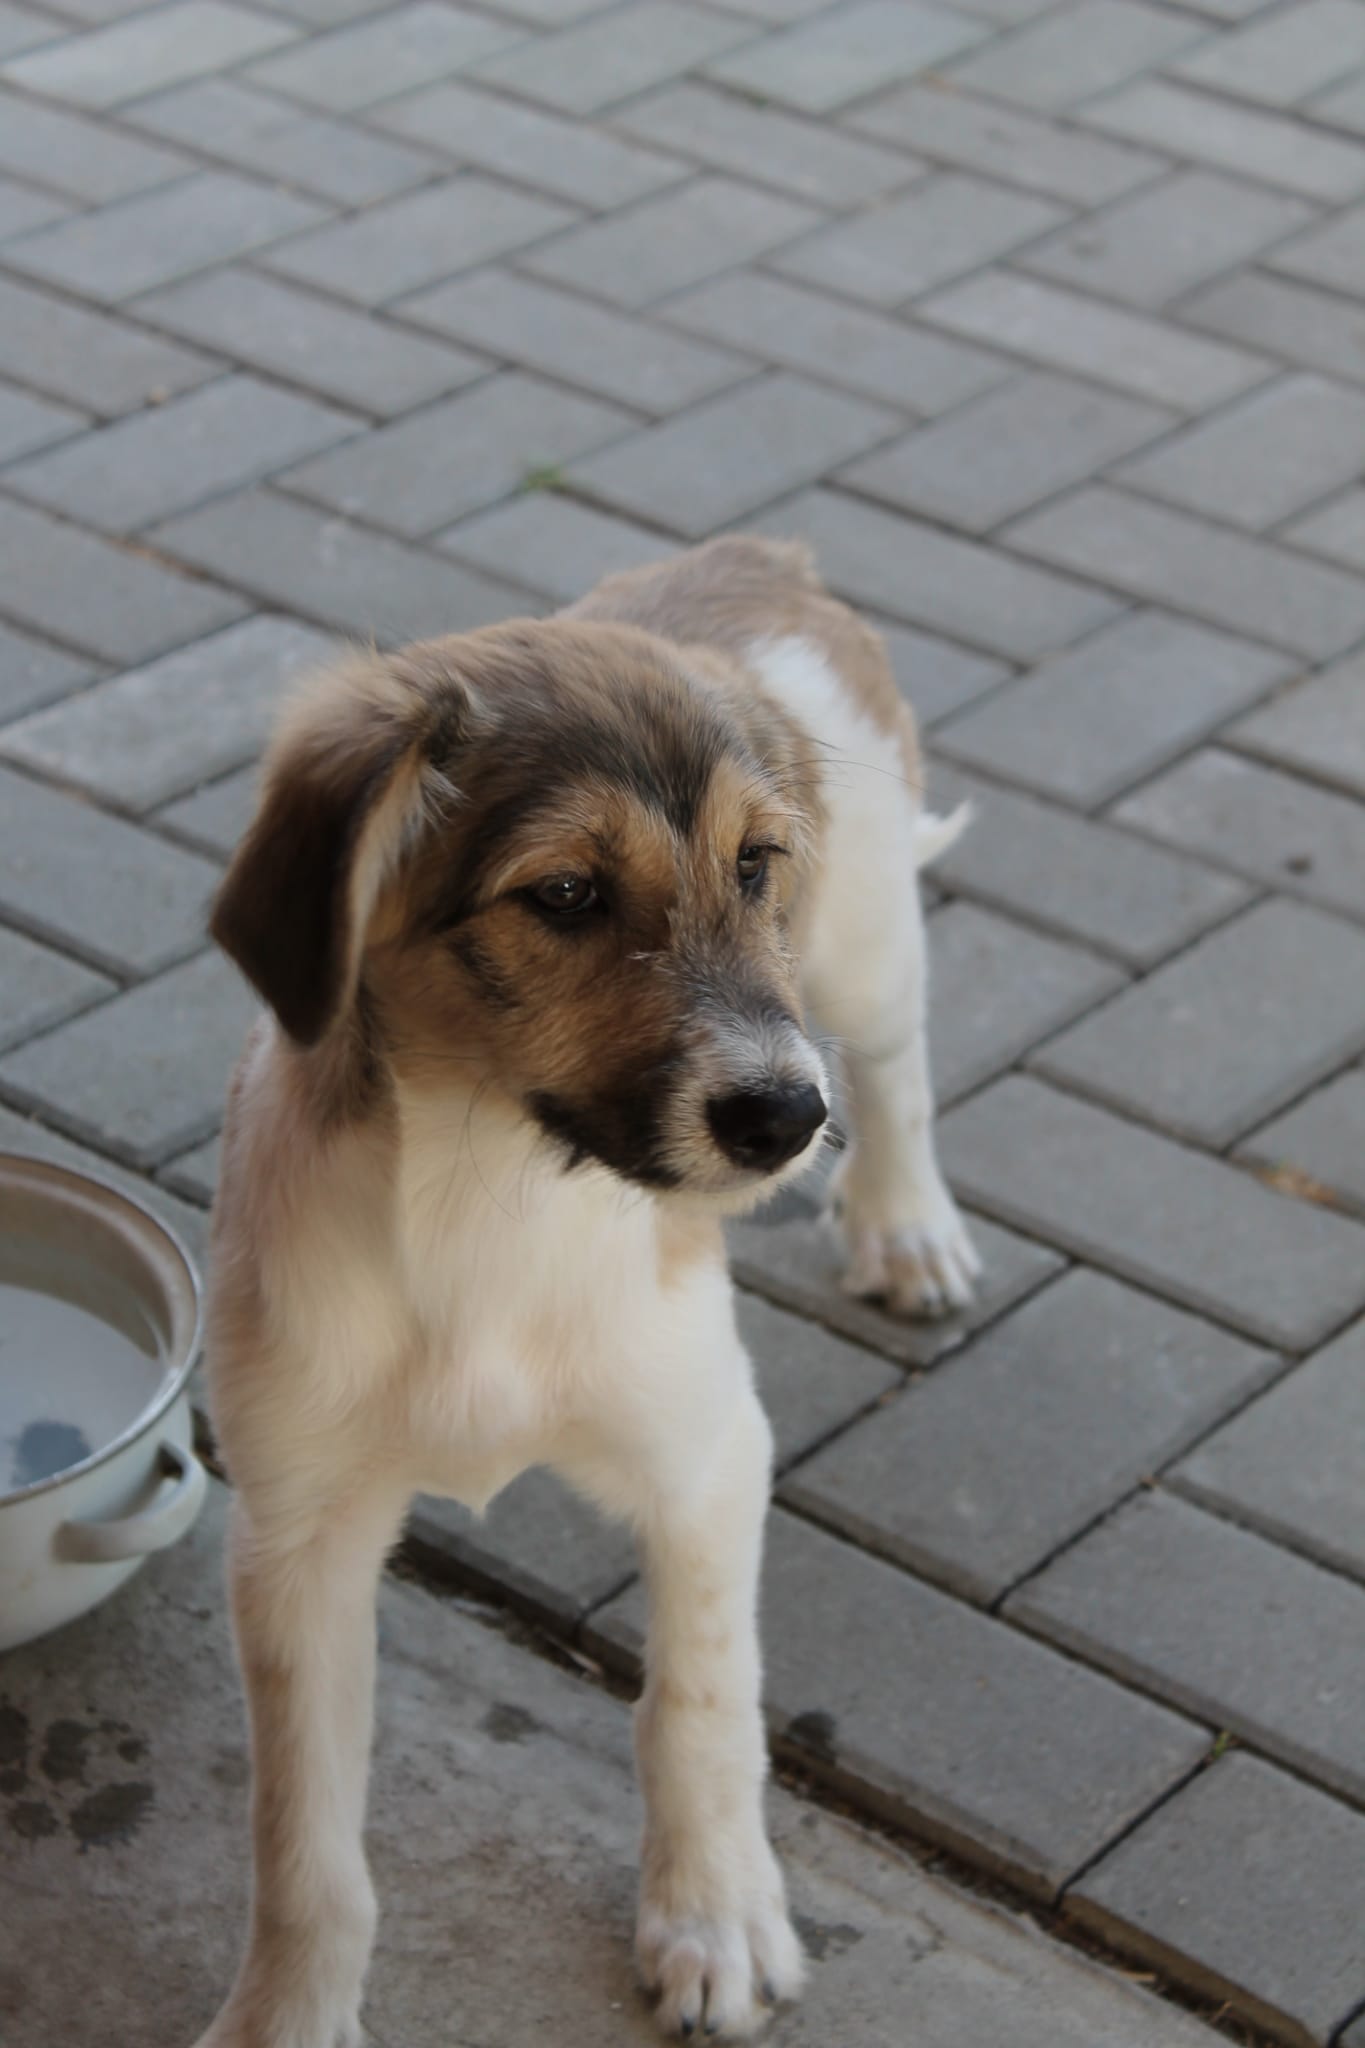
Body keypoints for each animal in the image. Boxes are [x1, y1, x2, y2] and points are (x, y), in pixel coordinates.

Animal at [193, 534, 979, 2048]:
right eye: (564, 895)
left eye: (754, 864)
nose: (783, 1121)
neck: (494, 1198)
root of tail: (756, 557)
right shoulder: (297, 1533)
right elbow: (303, 1842)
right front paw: (287, 2016)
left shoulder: (707, 1458)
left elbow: (699, 1706)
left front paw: (714, 1916)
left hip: (861, 954)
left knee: (899, 1063)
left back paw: (906, 1227)